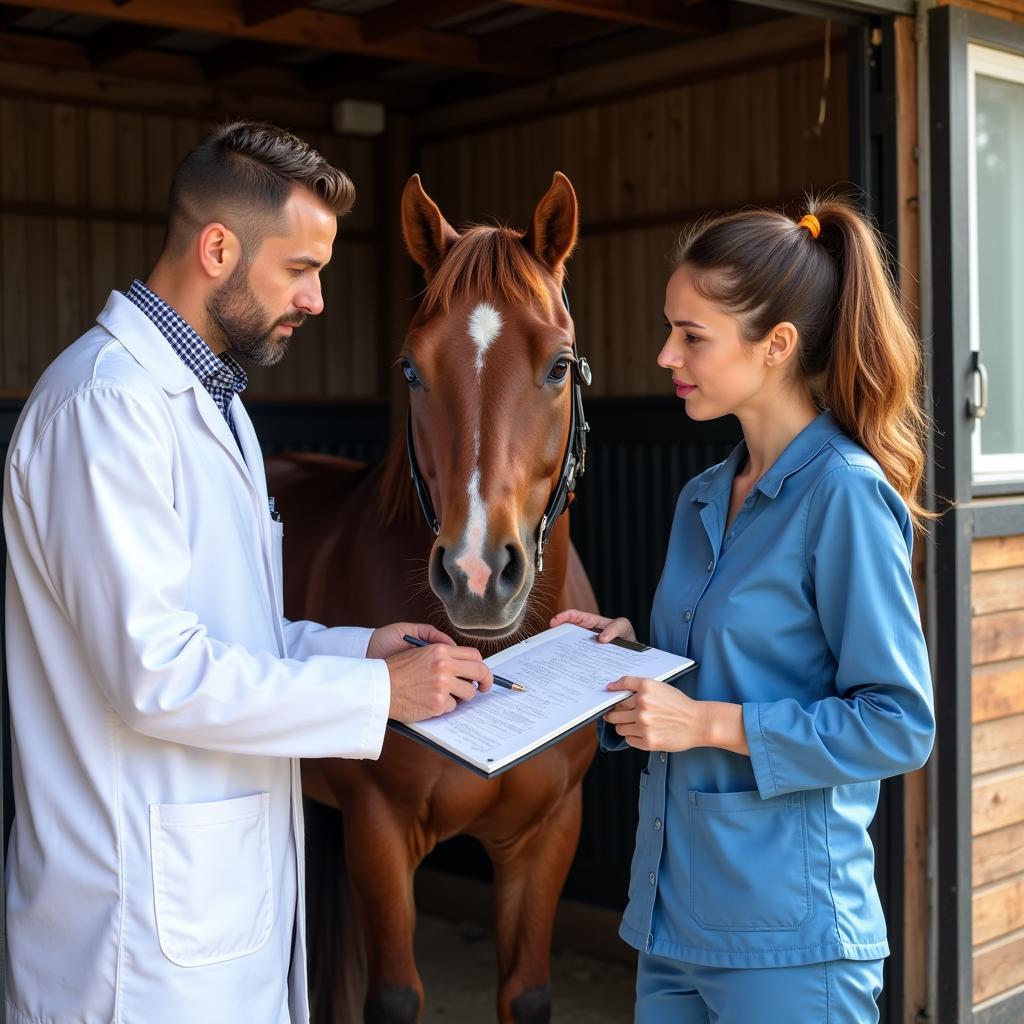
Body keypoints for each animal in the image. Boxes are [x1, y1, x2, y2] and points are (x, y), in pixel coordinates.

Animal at [268, 172, 598, 1019]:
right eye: (412, 370)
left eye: (559, 366)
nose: (478, 575)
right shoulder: (378, 833)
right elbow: (393, 997)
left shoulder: (547, 837)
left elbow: (527, 993)